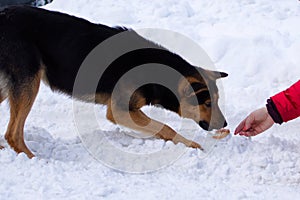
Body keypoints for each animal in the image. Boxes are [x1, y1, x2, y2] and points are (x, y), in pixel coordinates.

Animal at [0, 5, 227, 158]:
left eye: (217, 101)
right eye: (208, 103)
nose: (225, 124)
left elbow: (159, 129)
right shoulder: (119, 110)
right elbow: (165, 127)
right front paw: (190, 144)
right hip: (29, 82)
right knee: (13, 134)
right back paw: (33, 159)